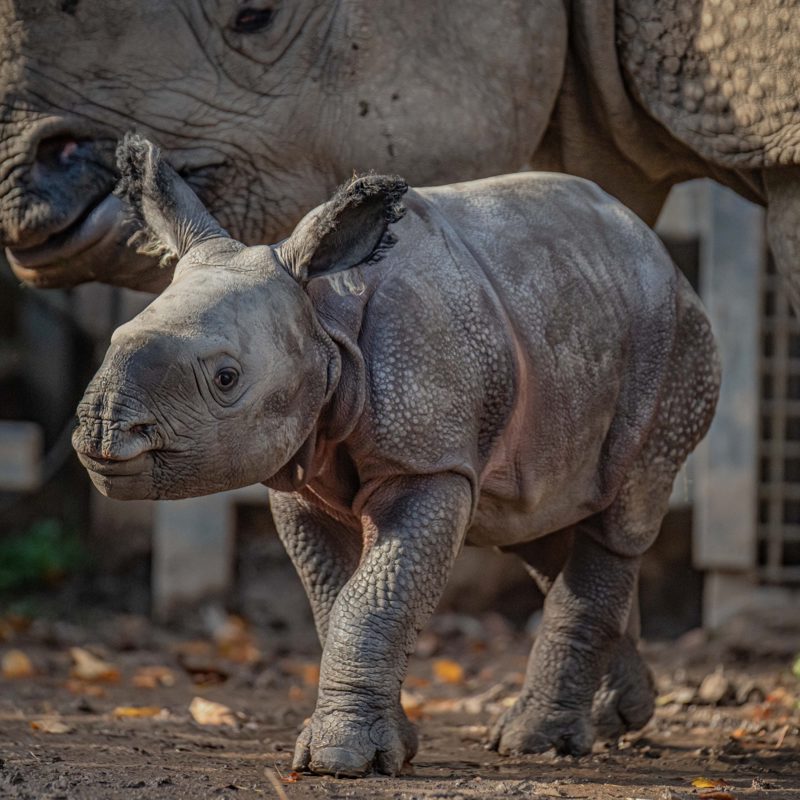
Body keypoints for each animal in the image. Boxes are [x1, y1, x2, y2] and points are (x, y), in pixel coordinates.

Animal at [72, 136, 720, 776]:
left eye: (226, 378)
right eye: (113, 340)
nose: (102, 431)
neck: (323, 316)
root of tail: (659, 251)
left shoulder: (428, 459)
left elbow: (375, 595)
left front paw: (340, 760)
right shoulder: (300, 472)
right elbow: (336, 598)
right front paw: (384, 746)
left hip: (674, 343)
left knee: (622, 515)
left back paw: (540, 742)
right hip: (571, 314)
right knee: (547, 526)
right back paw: (618, 717)